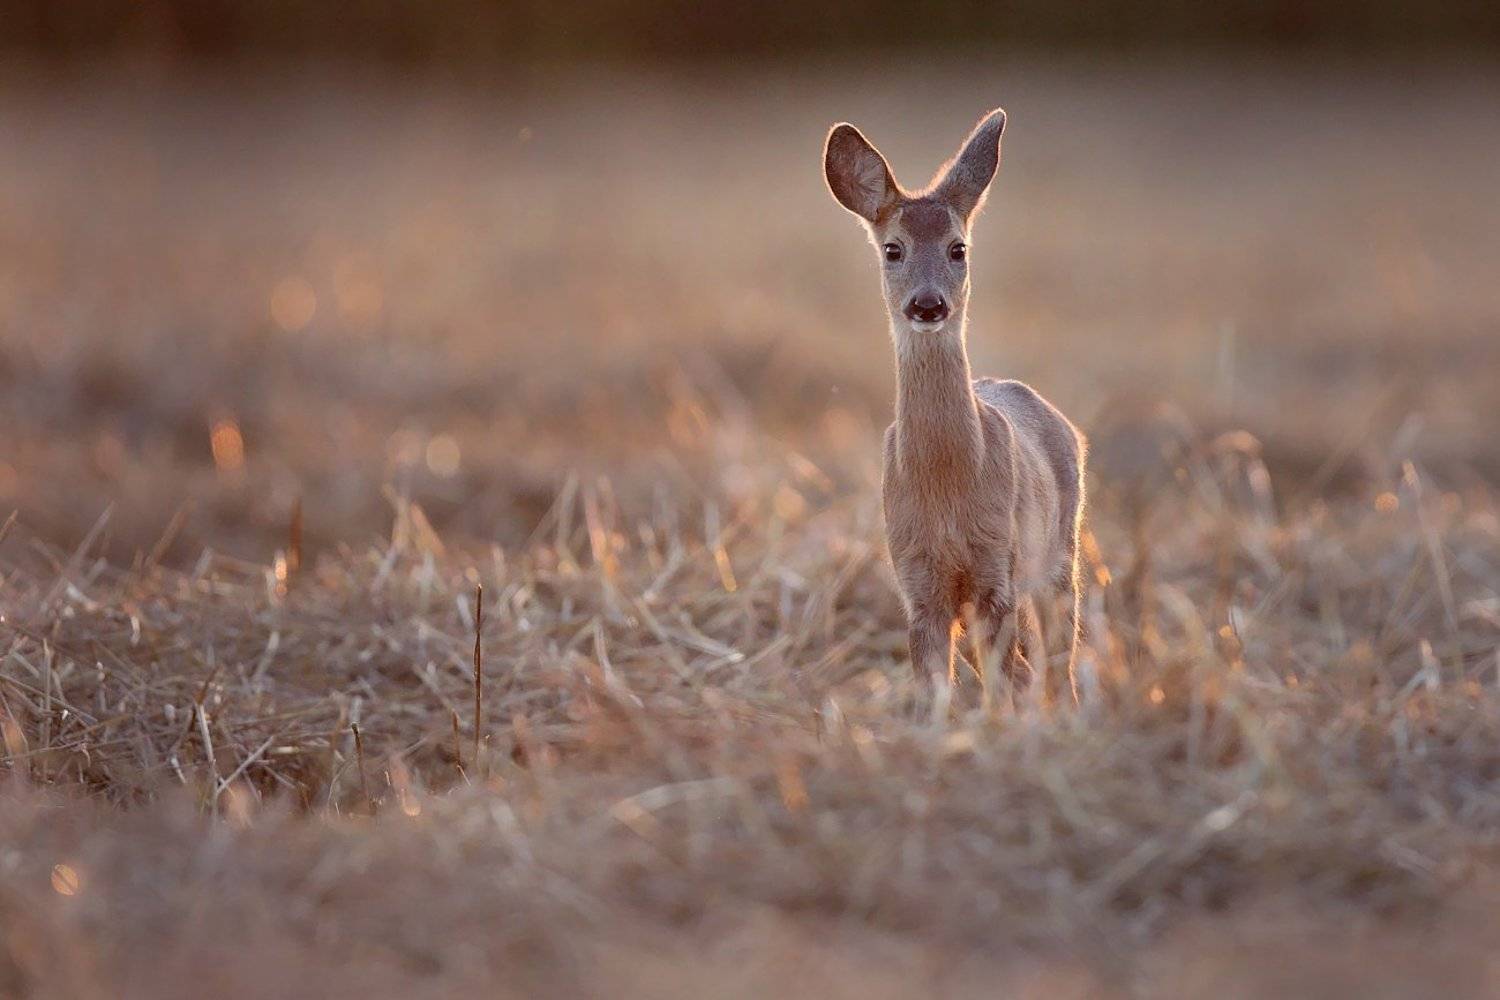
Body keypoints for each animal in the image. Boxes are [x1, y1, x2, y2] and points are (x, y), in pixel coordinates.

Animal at [822, 108, 1086, 706]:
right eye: (892, 249)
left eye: (958, 248)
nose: (927, 304)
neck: (947, 486)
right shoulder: (916, 577)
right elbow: (935, 687)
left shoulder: (997, 566)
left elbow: (1003, 679)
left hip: (1059, 549)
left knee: (1057, 655)